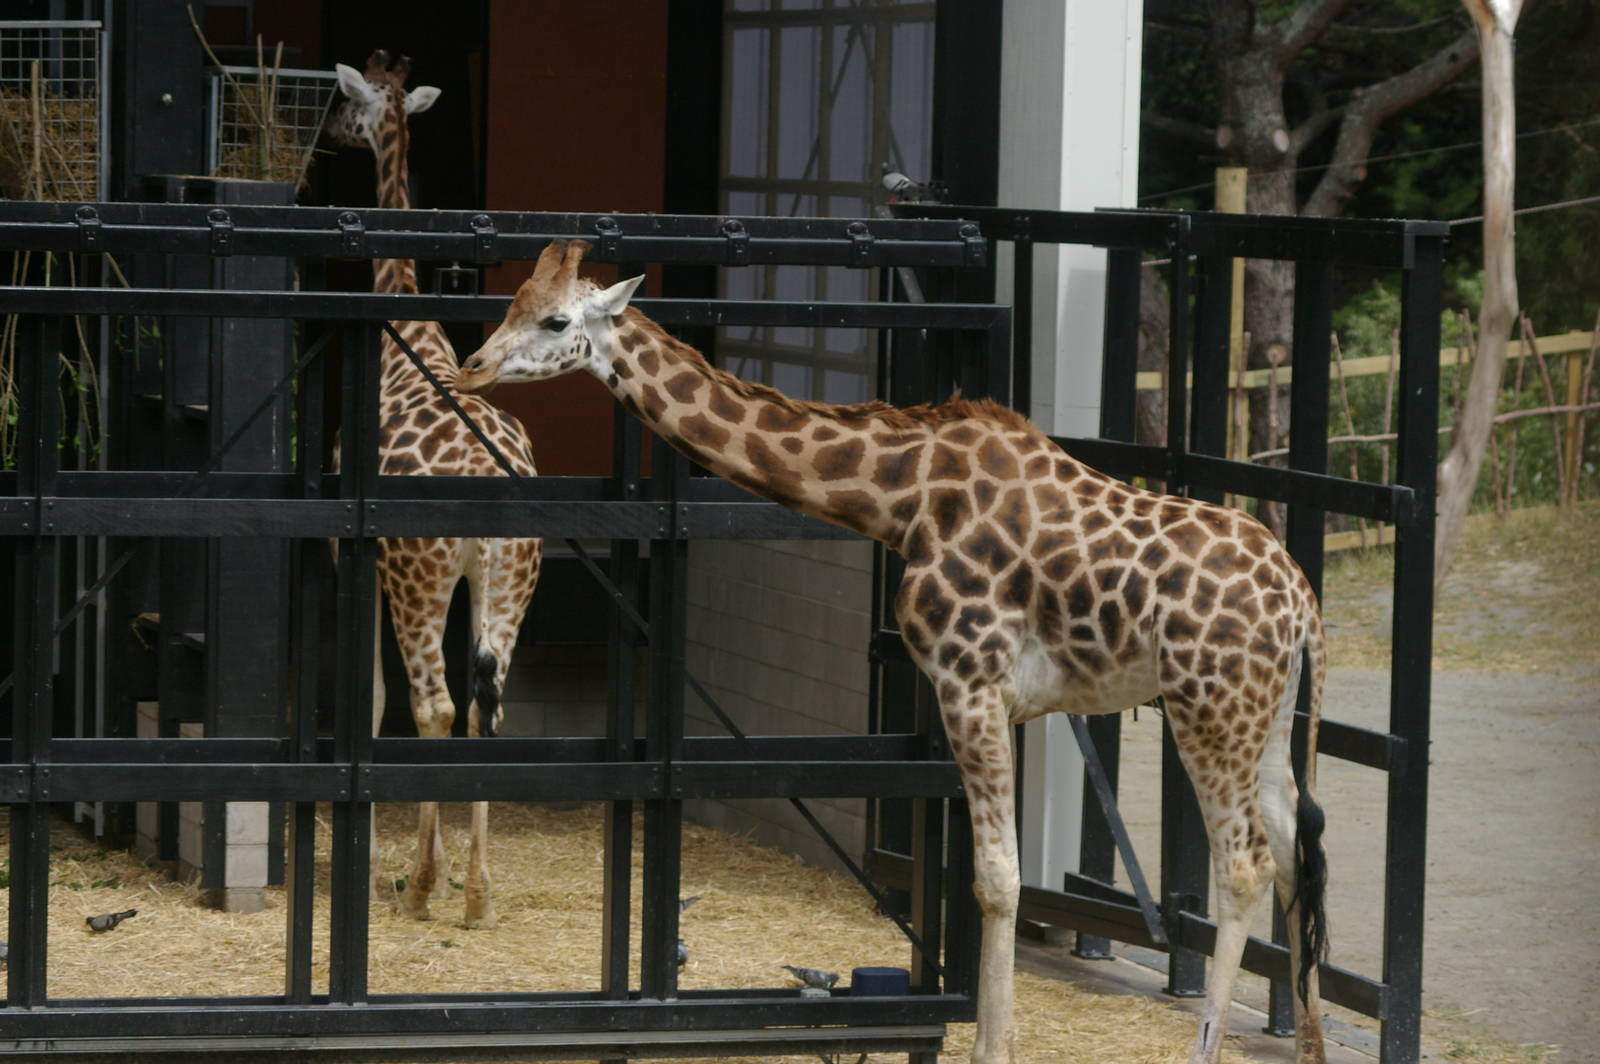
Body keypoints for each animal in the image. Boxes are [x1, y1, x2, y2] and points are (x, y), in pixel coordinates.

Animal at [457, 240, 1331, 1064]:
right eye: (513, 301)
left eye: (556, 321)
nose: (471, 368)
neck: (903, 498)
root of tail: (1301, 606)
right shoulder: (994, 696)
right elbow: (996, 875)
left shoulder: (969, 679)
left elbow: (997, 880)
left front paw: (990, 1048)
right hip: (1268, 718)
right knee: (1296, 853)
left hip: (1209, 708)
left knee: (1245, 866)